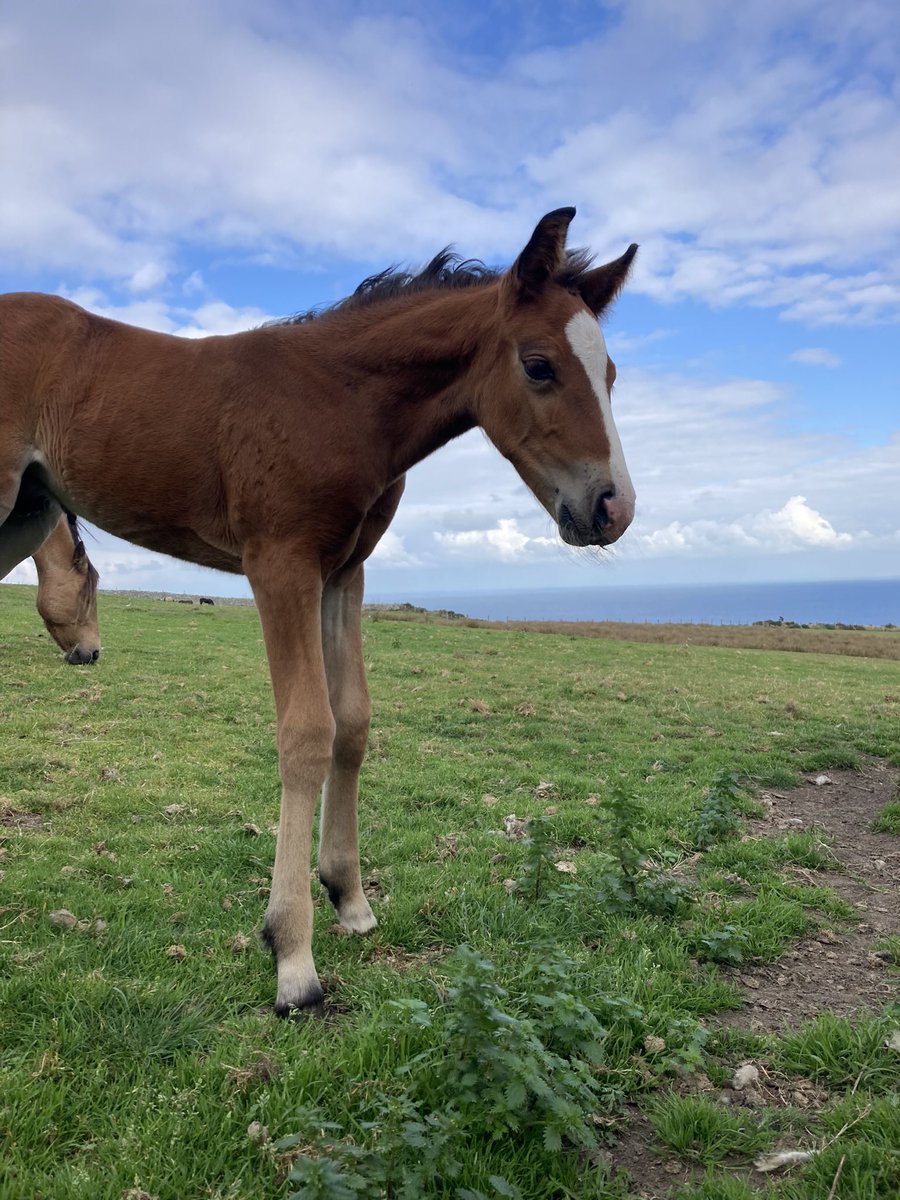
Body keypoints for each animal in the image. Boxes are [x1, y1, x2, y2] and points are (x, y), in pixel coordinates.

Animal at [0, 208, 637, 1016]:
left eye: (610, 375)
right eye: (539, 365)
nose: (613, 508)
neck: (340, 403)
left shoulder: (344, 572)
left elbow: (353, 722)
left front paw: (350, 899)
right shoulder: (281, 565)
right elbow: (307, 732)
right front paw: (293, 958)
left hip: (24, 510)